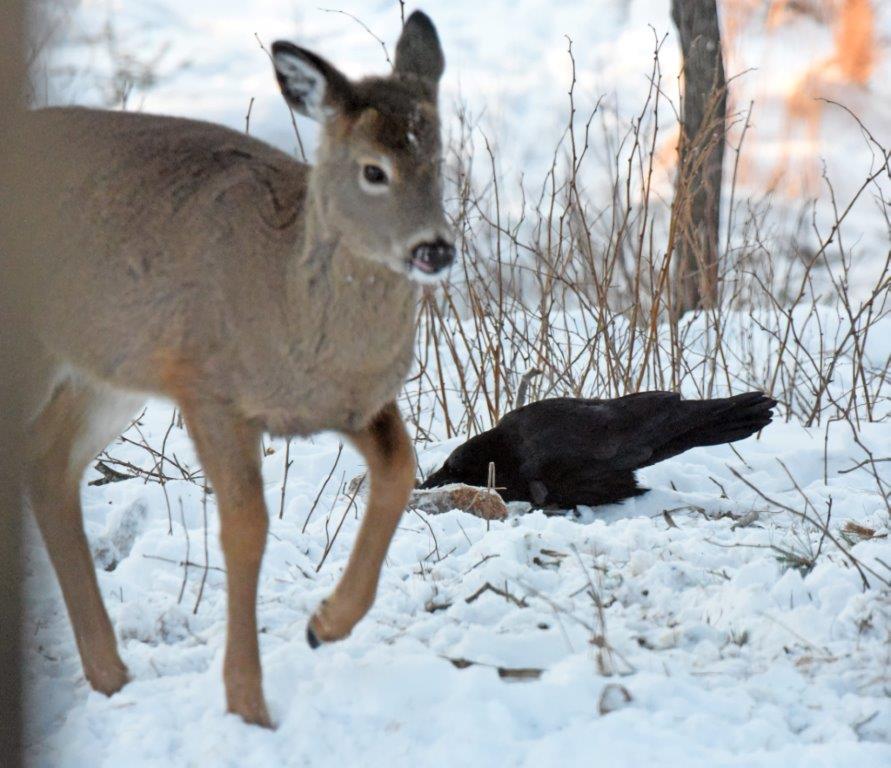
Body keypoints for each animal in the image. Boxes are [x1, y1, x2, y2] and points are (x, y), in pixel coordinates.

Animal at [20, 11, 454, 727]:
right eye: (374, 170)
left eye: (439, 158)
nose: (435, 249)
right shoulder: (208, 387)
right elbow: (245, 529)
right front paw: (249, 705)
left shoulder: (351, 400)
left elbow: (399, 470)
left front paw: (325, 623)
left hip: (106, 371)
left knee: (47, 463)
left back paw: (111, 675)